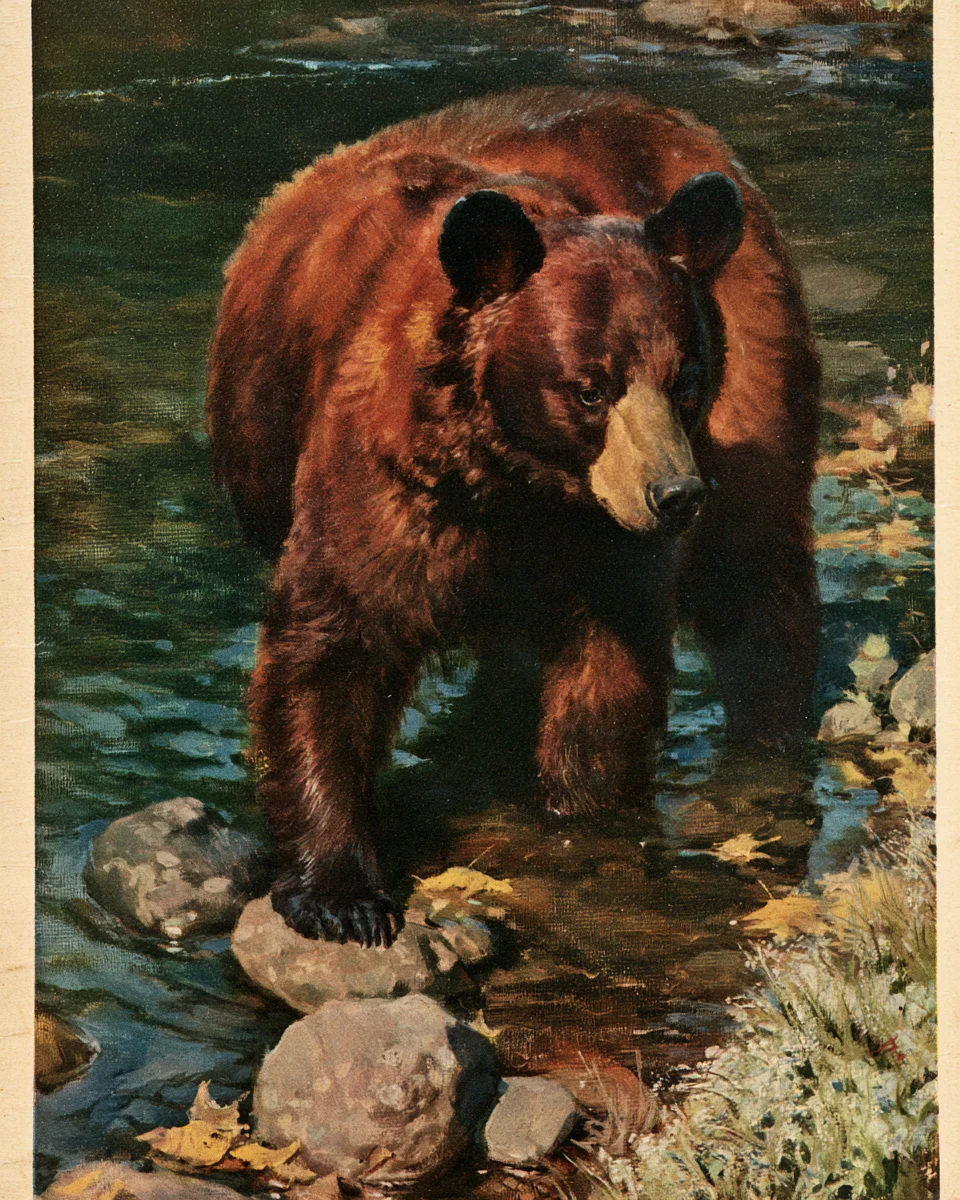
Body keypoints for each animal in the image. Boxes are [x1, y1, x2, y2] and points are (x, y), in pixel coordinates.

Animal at [206, 88, 820, 949]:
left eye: (686, 378)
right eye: (590, 387)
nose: (674, 495)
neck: (514, 481)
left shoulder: (602, 543)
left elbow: (608, 669)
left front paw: (585, 816)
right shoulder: (387, 482)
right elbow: (333, 641)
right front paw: (341, 894)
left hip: (759, 367)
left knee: (756, 576)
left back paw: (768, 749)